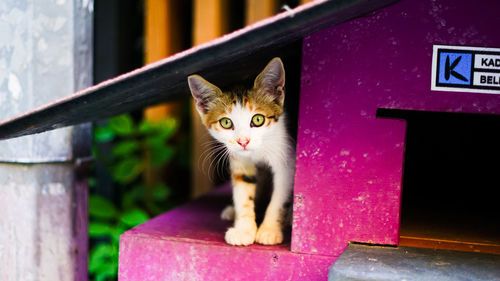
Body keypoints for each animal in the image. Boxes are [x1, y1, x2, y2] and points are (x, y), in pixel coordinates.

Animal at [189, 57, 294, 245]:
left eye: (258, 119)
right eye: (226, 123)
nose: (243, 141)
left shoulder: (287, 161)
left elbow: (279, 197)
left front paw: (269, 230)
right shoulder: (239, 161)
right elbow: (243, 192)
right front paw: (243, 230)